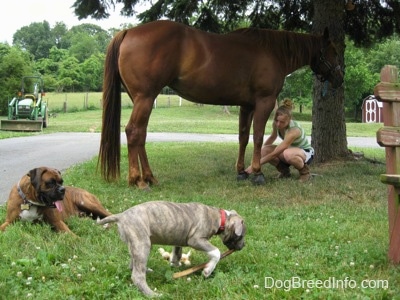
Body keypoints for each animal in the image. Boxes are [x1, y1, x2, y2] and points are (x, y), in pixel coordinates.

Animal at [100, 20, 344, 190]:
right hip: (145, 97)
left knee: (141, 135)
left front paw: (242, 172)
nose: (340, 79)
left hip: (142, 99)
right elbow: (258, 137)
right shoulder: (264, 102)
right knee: (134, 132)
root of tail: (129, 32)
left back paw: (150, 177)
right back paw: (138, 181)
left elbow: (243, 137)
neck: (273, 52)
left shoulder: (247, 105)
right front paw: (257, 173)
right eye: (333, 51)